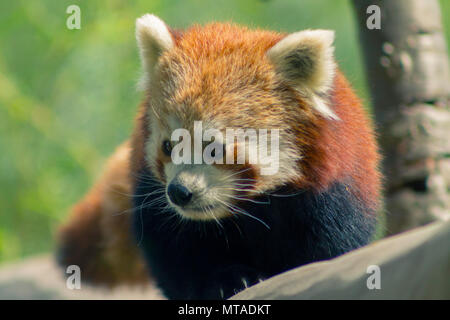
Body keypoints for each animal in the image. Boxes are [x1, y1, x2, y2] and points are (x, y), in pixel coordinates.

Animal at [56, 14, 380, 300]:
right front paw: (226, 280)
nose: (179, 192)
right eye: (169, 146)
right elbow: (176, 256)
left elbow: (327, 249)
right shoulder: (156, 201)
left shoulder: (330, 192)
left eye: (215, 148)